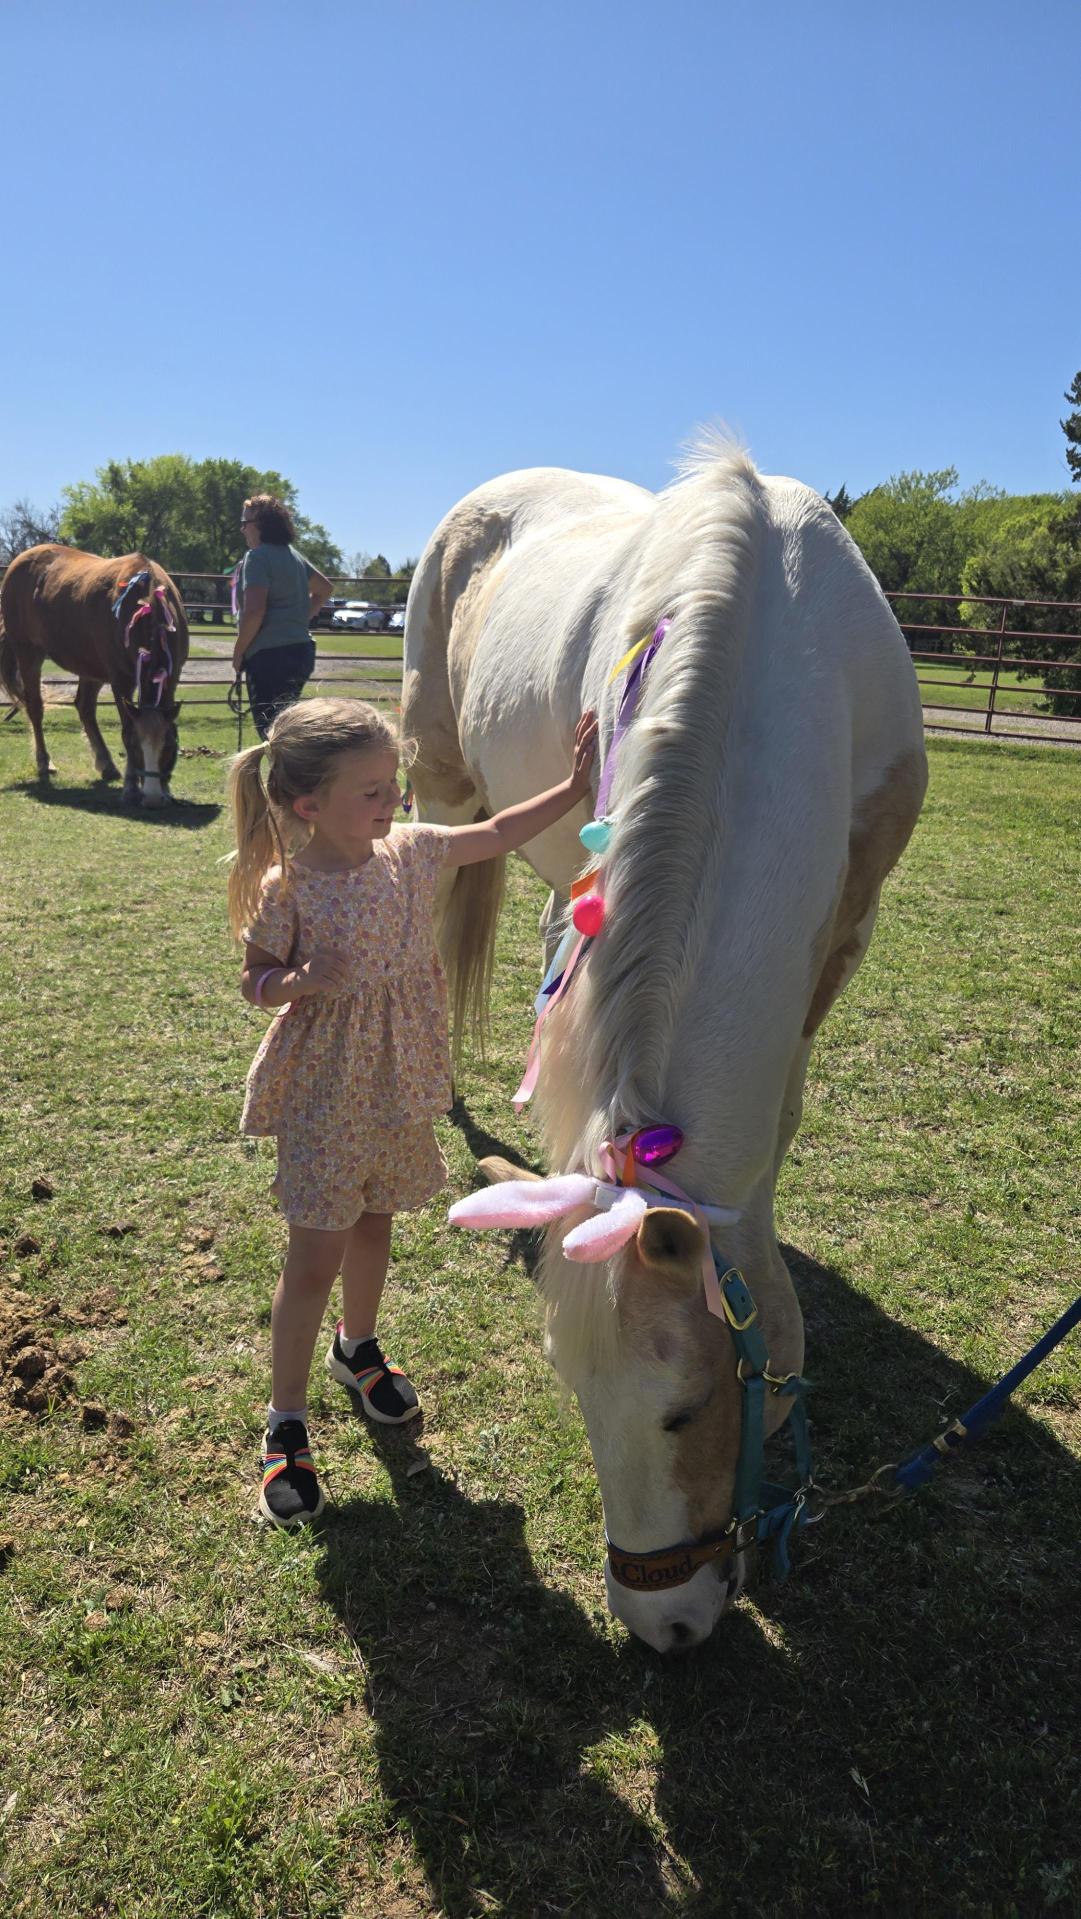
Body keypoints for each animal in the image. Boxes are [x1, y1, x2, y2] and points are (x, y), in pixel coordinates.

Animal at [0, 544, 189, 807]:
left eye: (169, 745)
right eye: (135, 748)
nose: (152, 798)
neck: (147, 601)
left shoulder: (172, 677)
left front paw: (166, 788)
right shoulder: (121, 681)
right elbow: (126, 727)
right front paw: (131, 787)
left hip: (90, 667)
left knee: (85, 707)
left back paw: (106, 764)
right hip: (28, 653)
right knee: (35, 707)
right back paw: (44, 762)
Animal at [402, 437, 927, 1652]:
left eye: (686, 1411)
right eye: (576, 1403)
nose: (662, 1627)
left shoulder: (844, 932)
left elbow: (779, 1122)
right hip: (441, 784)